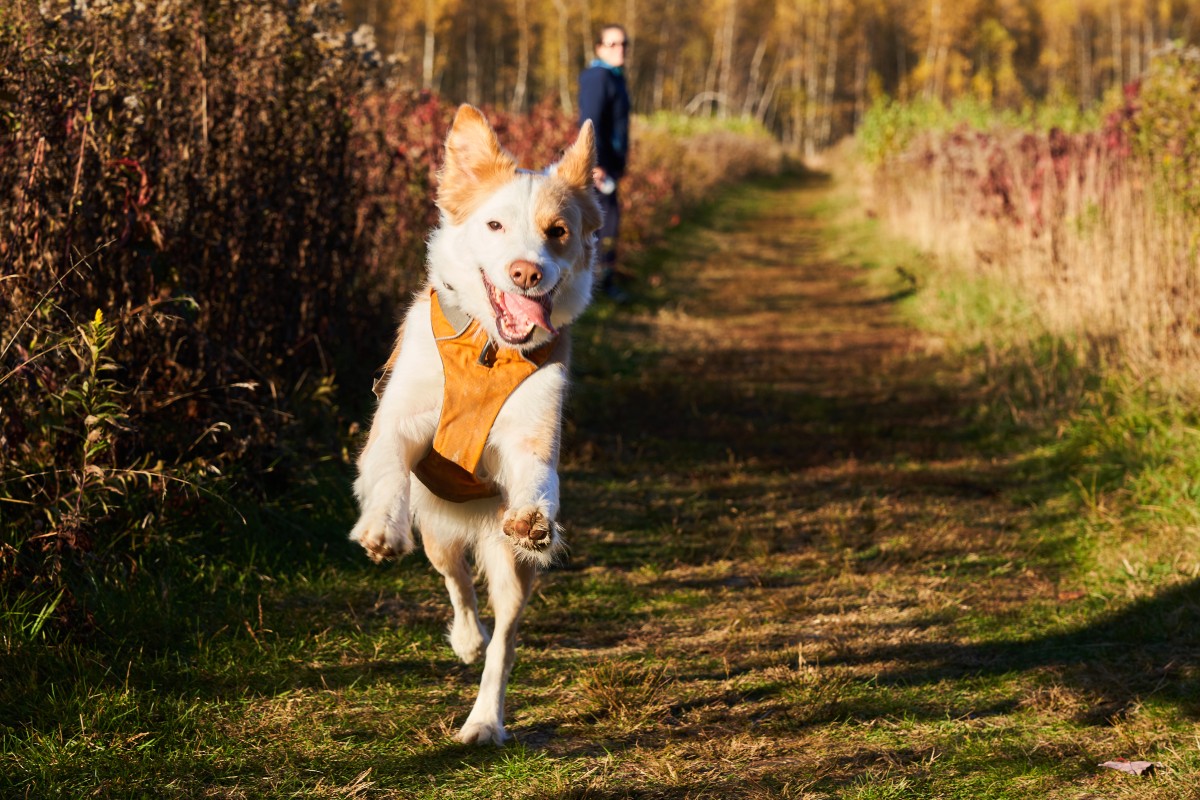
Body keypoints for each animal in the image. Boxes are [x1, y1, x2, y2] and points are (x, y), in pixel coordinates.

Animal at [350, 104, 604, 743]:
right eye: (494, 226)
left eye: (558, 231)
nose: (526, 273)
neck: (488, 350)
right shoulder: (401, 419)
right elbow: (388, 469)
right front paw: (382, 528)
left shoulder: (533, 434)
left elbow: (539, 476)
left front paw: (536, 517)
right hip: (439, 532)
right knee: (457, 581)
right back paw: (466, 637)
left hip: (512, 571)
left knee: (502, 643)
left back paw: (484, 719)